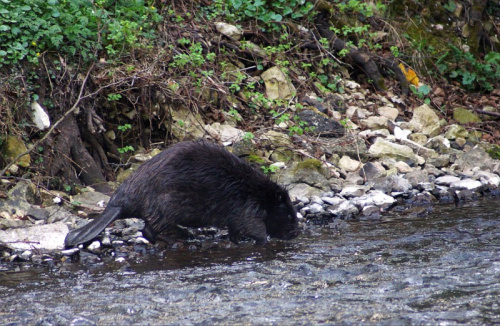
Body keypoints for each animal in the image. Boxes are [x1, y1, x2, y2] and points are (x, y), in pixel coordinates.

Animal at [65, 141, 300, 247]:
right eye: (290, 215)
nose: (296, 234)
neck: (257, 192)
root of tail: (117, 204)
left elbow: (235, 228)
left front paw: (236, 239)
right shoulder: (248, 206)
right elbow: (253, 226)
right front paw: (264, 240)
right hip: (166, 204)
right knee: (150, 230)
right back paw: (179, 239)